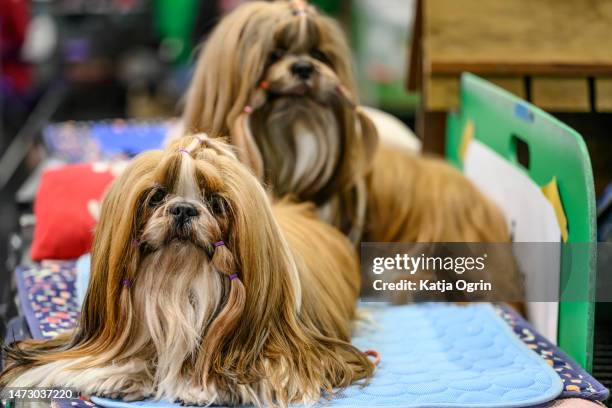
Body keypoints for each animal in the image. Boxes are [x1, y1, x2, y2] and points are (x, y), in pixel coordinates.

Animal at [0, 135, 376, 406]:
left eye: (216, 203)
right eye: (156, 196)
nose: (182, 209)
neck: (181, 285)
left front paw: (206, 385)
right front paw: (124, 372)